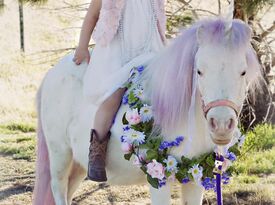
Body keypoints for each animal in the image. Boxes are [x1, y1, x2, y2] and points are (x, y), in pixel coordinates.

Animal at [32, 16, 260, 205]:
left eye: (243, 72)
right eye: (199, 71)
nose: (221, 125)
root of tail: (51, 73)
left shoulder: (197, 176)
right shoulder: (158, 178)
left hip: (78, 164)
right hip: (60, 153)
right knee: (58, 188)